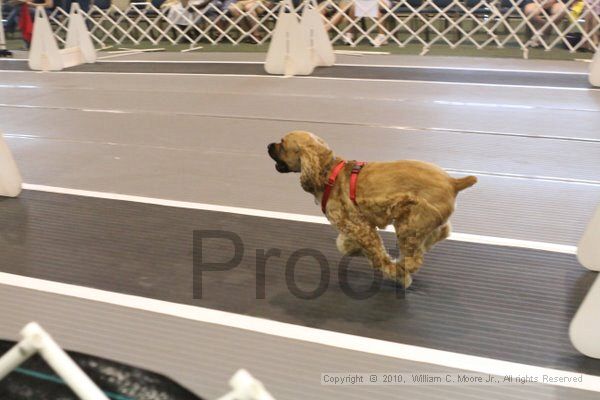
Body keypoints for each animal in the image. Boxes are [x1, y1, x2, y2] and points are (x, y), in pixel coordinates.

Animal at [268, 131, 478, 288]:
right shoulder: (354, 224)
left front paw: (391, 271)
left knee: (414, 259)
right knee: (441, 232)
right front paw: (354, 250)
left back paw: (401, 270)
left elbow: (377, 255)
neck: (327, 173)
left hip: (410, 223)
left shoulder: (361, 228)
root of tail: (453, 182)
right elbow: (342, 244)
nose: (268, 145)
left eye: (282, 144)